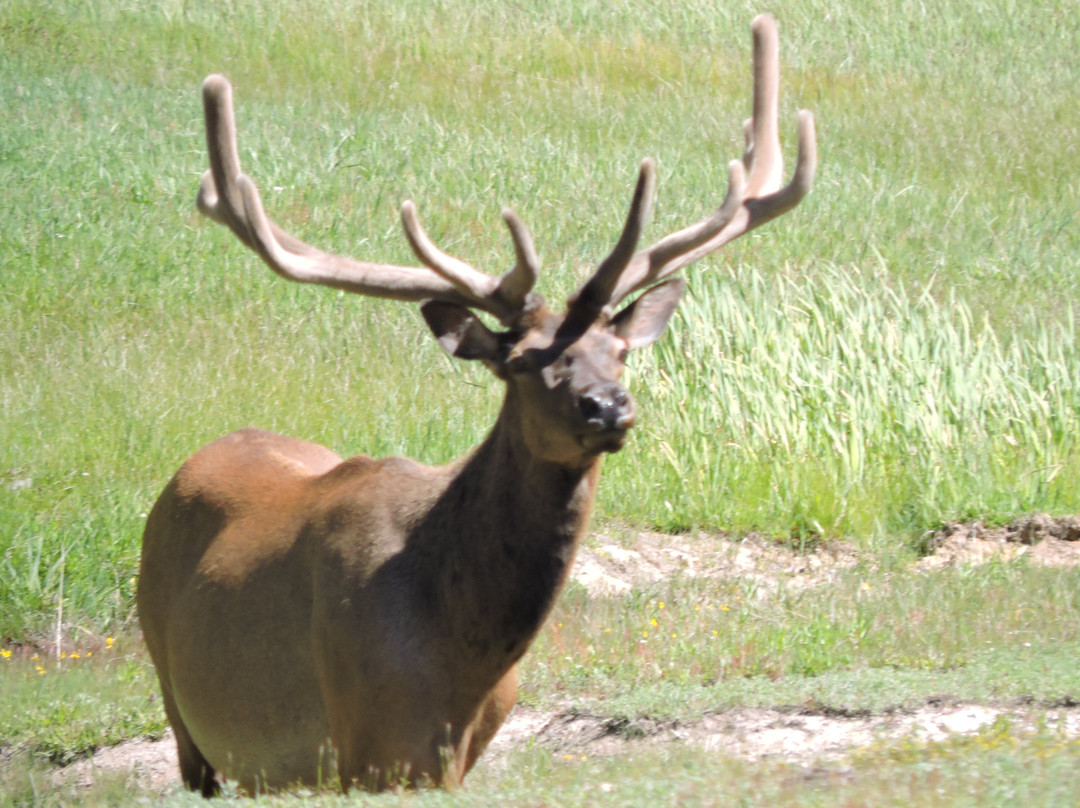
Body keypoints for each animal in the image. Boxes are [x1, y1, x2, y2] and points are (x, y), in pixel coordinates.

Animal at [139, 12, 816, 795]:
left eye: (619, 350)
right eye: (522, 363)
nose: (607, 408)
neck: (459, 662)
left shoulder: (457, 760)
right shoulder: (367, 751)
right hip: (179, 703)